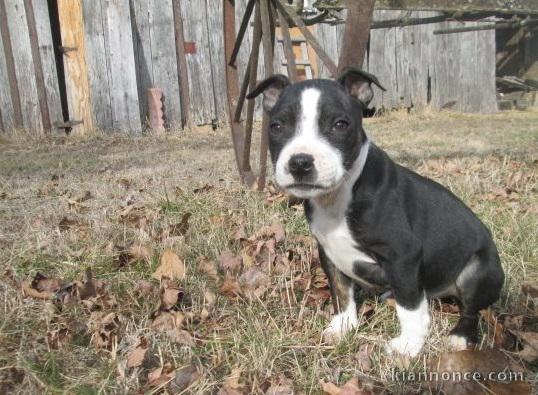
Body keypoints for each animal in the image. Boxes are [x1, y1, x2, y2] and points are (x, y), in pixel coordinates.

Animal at [246, 69, 502, 358]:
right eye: (276, 126)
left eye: (340, 125)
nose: (300, 162)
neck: (341, 193)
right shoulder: (328, 251)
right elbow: (341, 291)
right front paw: (343, 326)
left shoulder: (403, 255)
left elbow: (410, 308)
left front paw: (408, 346)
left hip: (478, 271)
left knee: (472, 309)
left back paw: (460, 336)